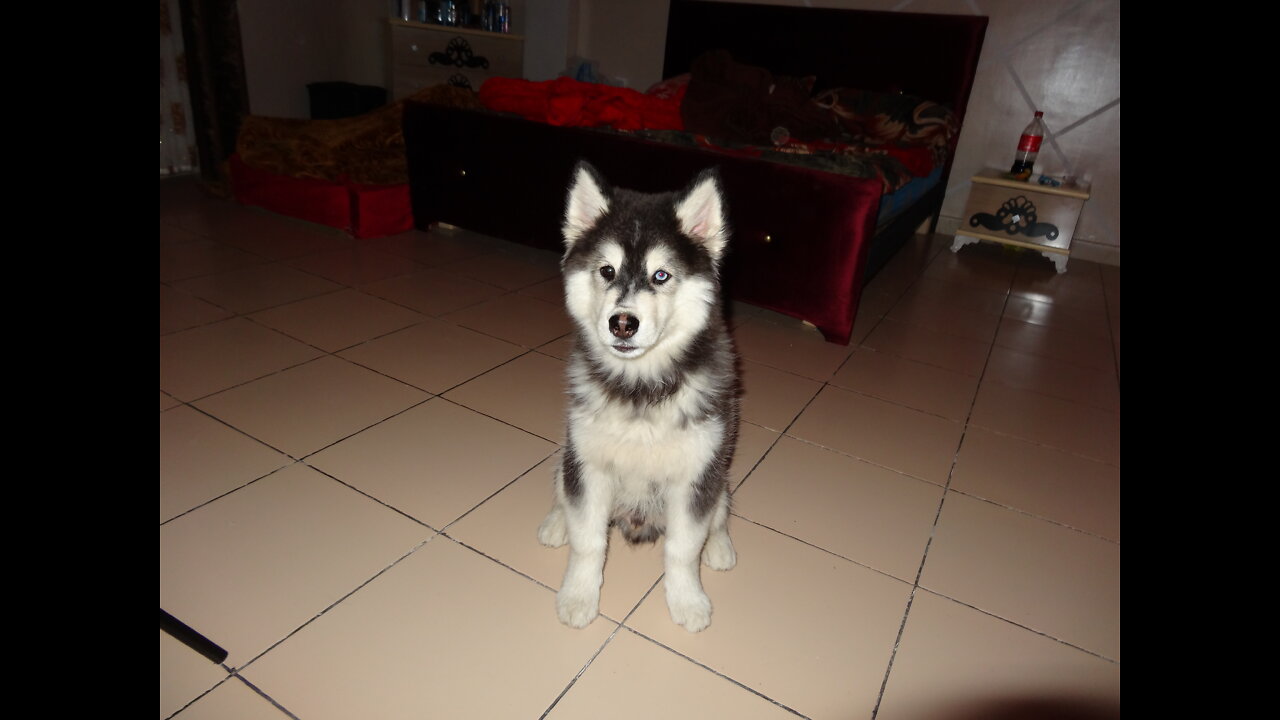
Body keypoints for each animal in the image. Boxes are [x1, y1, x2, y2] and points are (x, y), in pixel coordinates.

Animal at [537, 161, 742, 627]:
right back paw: (556, 523)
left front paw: (687, 600)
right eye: (607, 271)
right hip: (568, 453)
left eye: (660, 275)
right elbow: (588, 540)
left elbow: (683, 549)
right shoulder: (589, 462)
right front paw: (578, 595)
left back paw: (720, 546)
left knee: (720, 511)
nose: (622, 323)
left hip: (719, 470)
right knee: (561, 490)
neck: (640, 386)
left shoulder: (695, 472)